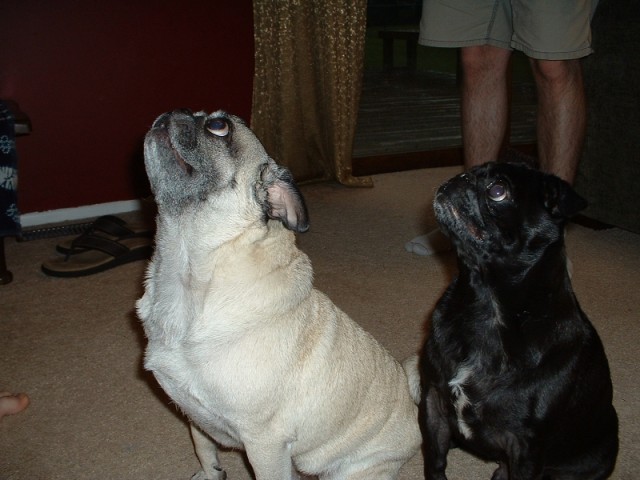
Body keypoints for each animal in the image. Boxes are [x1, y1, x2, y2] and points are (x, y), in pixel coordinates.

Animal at [137, 109, 421, 480]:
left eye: (218, 126)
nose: (170, 113)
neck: (184, 269)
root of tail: (413, 411)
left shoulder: (265, 443)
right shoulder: (193, 416)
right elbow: (202, 446)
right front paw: (211, 473)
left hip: (352, 468)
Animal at [418, 162, 618, 480]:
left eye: (498, 191)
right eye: (470, 170)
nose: (461, 176)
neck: (484, 306)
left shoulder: (525, 446)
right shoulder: (434, 403)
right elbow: (435, 460)